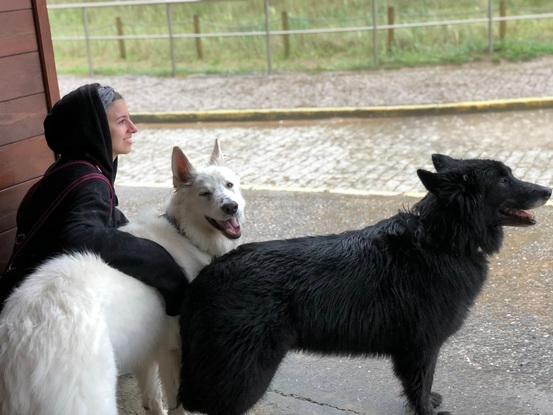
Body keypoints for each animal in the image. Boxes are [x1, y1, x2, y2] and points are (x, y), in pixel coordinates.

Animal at [0, 141, 246, 414]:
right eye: (204, 193)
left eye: (229, 185)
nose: (231, 207)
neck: (184, 233)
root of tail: (23, 333)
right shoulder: (171, 351)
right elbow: (176, 405)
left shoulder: (146, 351)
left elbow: (152, 398)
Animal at [179, 156, 548, 415]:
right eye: (503, 179)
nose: (549, 191)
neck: (442, 238)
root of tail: (208, 275)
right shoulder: (422, 347)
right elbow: (419, 387)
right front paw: (426, 408)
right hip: (244, 375)